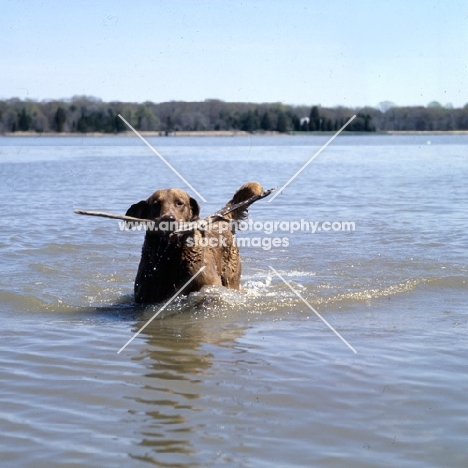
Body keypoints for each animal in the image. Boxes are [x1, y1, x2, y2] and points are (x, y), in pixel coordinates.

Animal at [126, 179, 266, 304]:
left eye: (180, 203)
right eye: (156, 204)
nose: (168, 219)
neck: (171, 258)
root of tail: (220, 219)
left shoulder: (209, 286)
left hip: (230, 276)